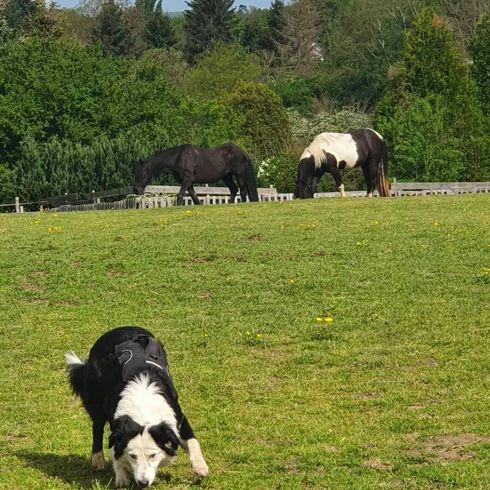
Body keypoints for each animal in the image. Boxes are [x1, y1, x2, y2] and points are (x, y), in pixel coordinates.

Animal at [64, 326, 208, 486]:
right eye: (132, 456)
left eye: (153, 455)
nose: (143, 483)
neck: (142, 408)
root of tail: (118, 329)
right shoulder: (117, 425)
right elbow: (115, 451)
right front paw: (121, 477)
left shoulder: (178, 418)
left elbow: (192, 441)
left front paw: (200, 466)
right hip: (96, 399)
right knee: (97, 427)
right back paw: (97, 458)